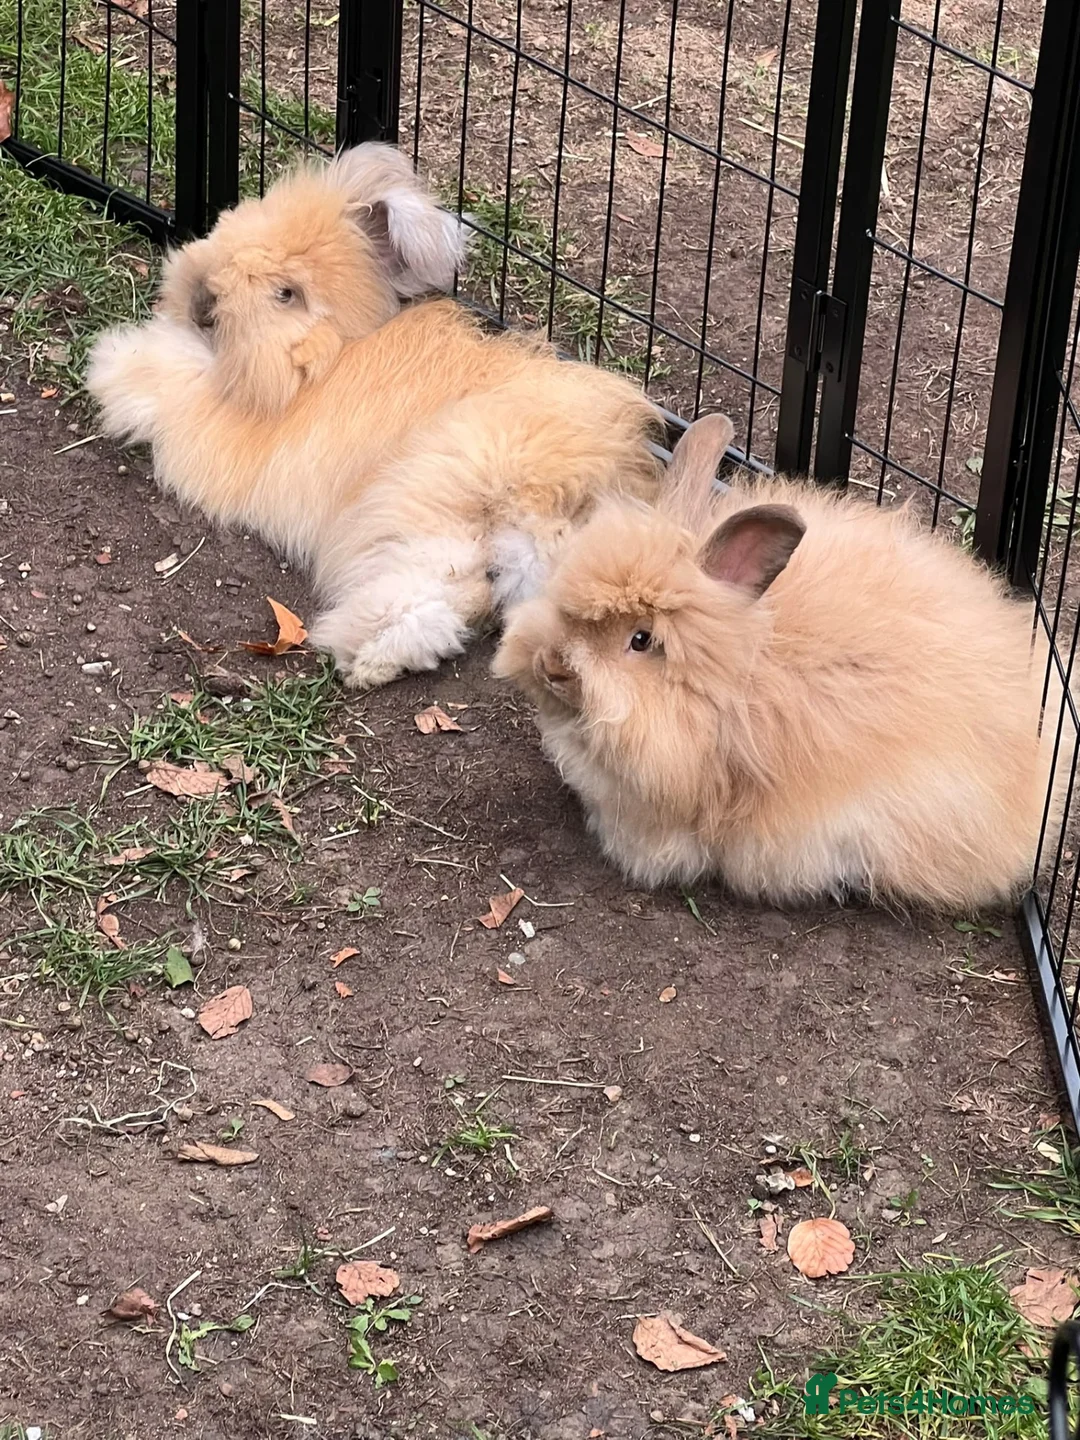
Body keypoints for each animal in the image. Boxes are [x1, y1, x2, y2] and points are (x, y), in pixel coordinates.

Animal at [86, 143, 663, 688]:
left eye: (286, 293)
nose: (203, 304)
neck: (331, 353)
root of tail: (583, 500)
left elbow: (169, 376)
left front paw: (114, 359)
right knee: (459, 596)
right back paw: (378, 660)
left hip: (427, 492)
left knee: (436, 581)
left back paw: (361, 649)